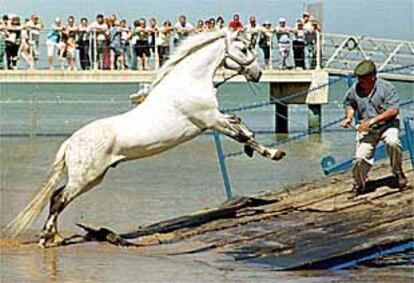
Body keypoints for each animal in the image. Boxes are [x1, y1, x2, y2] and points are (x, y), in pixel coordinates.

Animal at [3, 30, 286, 247]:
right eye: (244, 48)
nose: (257, 73)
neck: (187, 84)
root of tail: (69, 144)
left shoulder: (214, 119)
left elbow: (242, 128)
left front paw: (263, 152)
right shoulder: (210, 119)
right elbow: (241, 132)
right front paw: (273, 153)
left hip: (92, 177)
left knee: (56, 197)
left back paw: (56, 237)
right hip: (86, 177)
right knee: (59, 199)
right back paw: (46, 239)